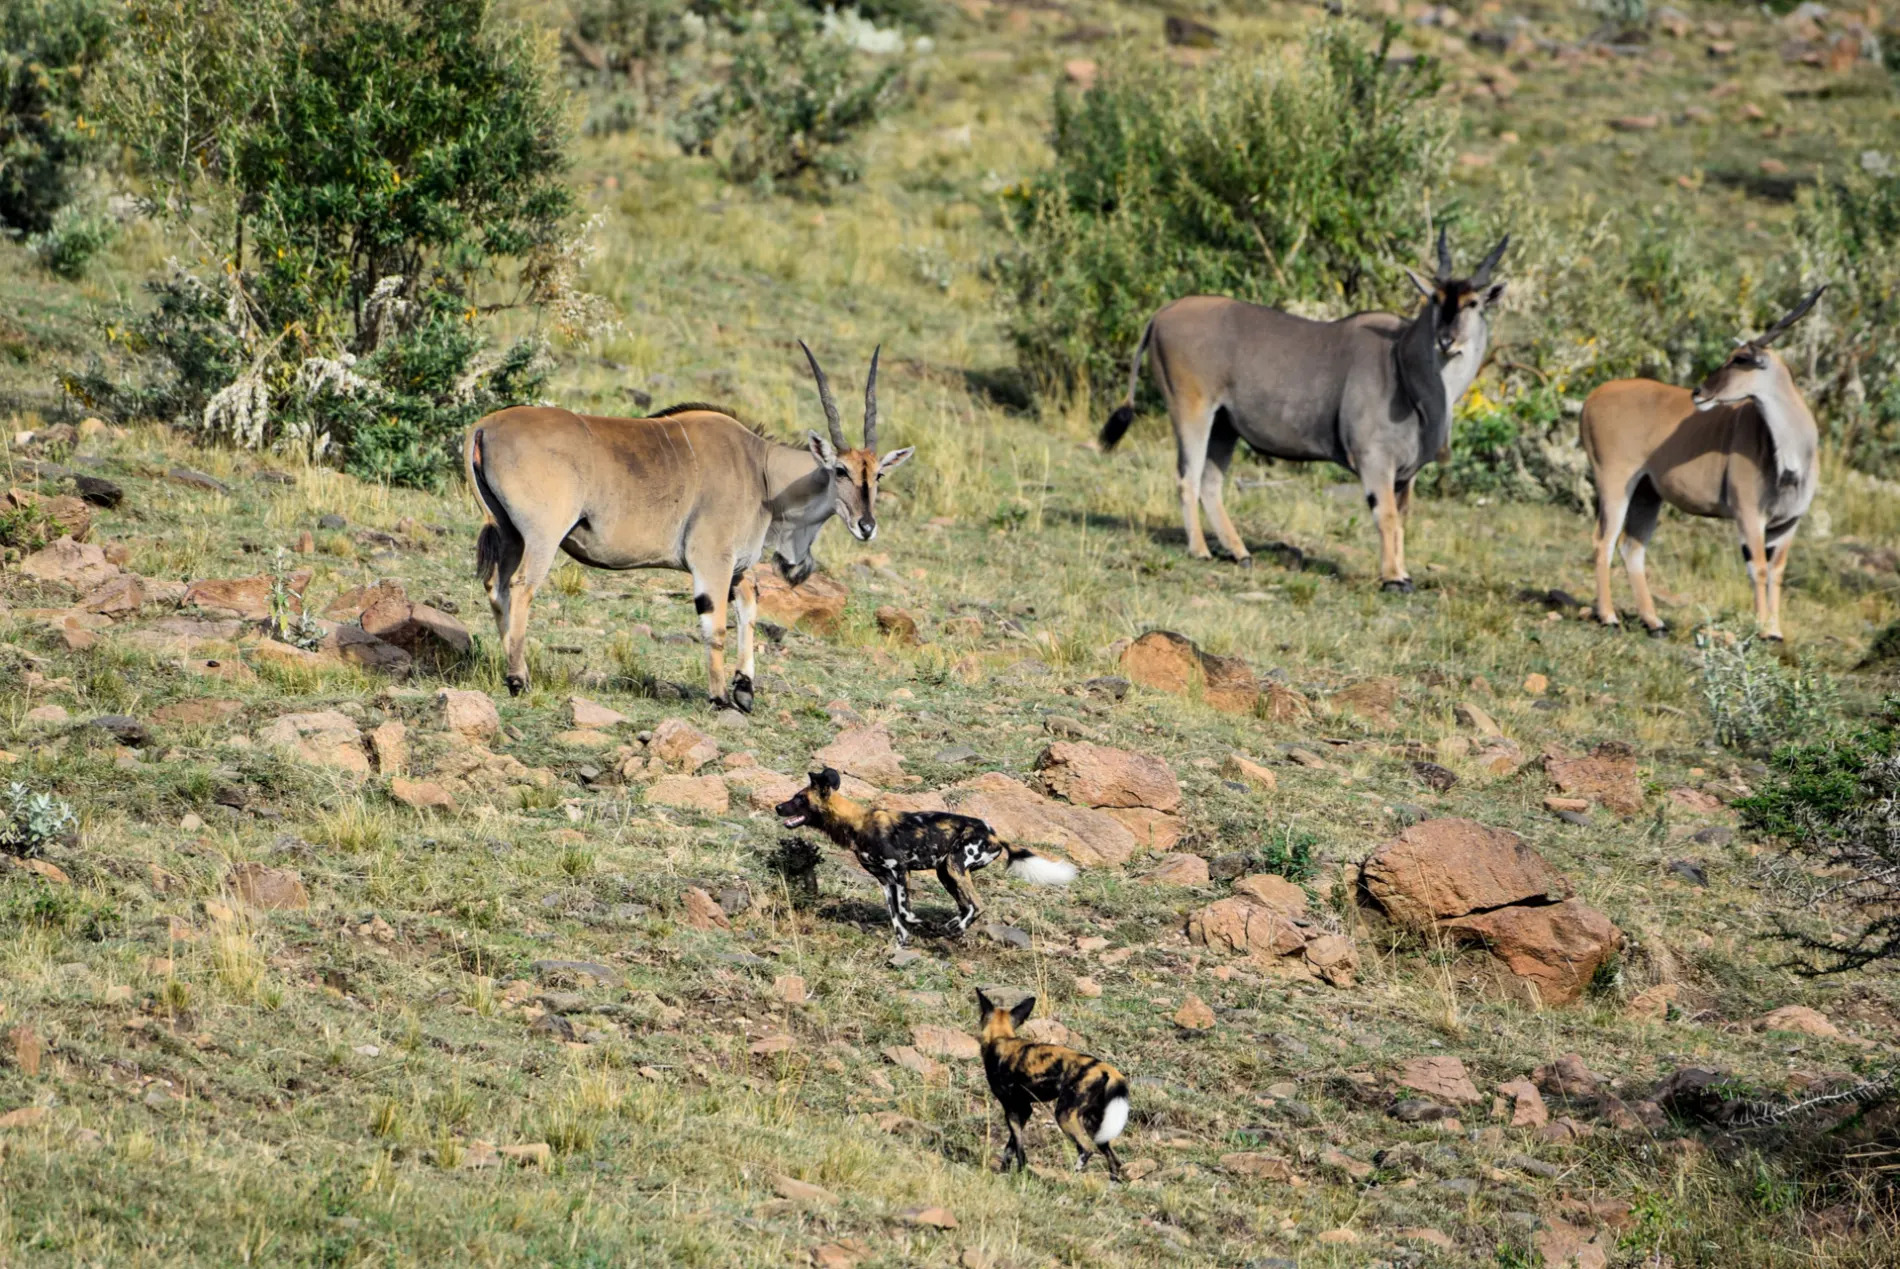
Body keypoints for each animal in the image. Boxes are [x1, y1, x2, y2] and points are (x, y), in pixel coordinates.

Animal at [459, 341, 904, 710]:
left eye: (878, 474)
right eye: (841, 471)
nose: (866, 526)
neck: (760, 469)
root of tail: (484, 426)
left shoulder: (736, 567)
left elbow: (749, 608)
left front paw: (745, 688)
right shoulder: (711, 560)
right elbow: (715, 625)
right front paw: (720, 697)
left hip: (509, 534)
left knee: (497, 588)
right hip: (542, 538)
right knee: (521, 588)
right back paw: (519, 679)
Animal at [767, 763, 1071, 942]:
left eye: (799, 798)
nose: (778, 807)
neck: (855, 824)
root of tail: (995, 833)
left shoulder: (900, 871)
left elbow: (906, 911)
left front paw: (922, 927)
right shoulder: (885, 880)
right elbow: (894, 914)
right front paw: (902, 940)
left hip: (954, 866)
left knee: (977, 905)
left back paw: (951, 930)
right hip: (946, 873)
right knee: (966, 906)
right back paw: (951, 928)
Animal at [980, 987, 1124, 1177]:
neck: (1001, 1038)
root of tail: (1101, 1066)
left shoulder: (1011, 1108)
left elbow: (1017, 1146)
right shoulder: (1025, 1109)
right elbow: (1010, 1147)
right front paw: (1008, 1172)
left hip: (1064, 1116)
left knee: (1086, 1149)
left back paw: (1072, 1176)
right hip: (1093, 1125)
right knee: (1115, 1161)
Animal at [1109, 230, 1504, 588]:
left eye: (1473, 304)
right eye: (1436, 299)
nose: (1446, 340)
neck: (1402, 364)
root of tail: (1162, 313)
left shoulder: (1406, 474)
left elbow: (1403, 519)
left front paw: (1402, 572)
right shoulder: (1374, 460)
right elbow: (1388, 517)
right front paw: (1393, 578)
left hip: (1223, 426)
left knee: (1210, 484)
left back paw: (1240, 553)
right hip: (1192, 411)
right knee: (1187, 479)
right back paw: (1200, 550)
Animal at [1573, 288, 1824, 645]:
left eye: (1738, 359)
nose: (1699, 392)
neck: (1789, 456)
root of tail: (1592, 398)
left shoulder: (1789, 523)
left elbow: (1776, 571)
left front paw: (1775, 631)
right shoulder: (1749, 516)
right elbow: (1759, 568)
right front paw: (1762, 629)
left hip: (1647, 493)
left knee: (1631, 547)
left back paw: (1654, 622)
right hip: (1614, 483)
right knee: (1603, 541)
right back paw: (1608, 616)